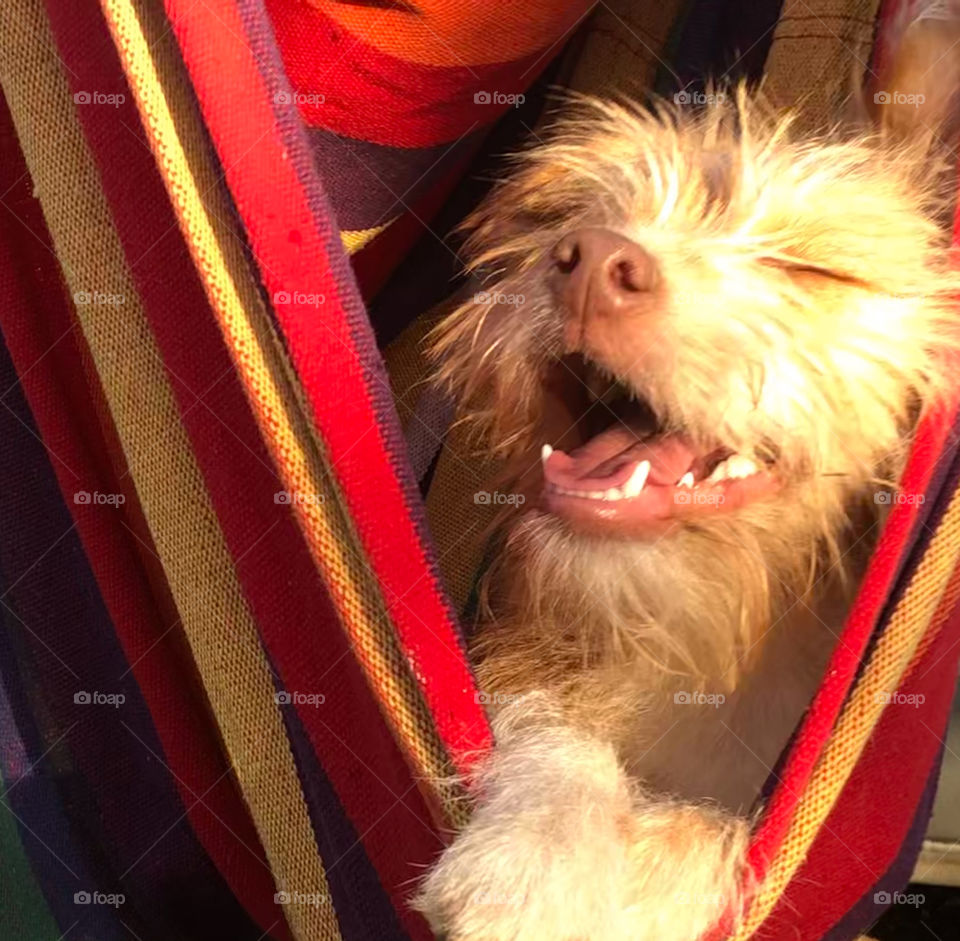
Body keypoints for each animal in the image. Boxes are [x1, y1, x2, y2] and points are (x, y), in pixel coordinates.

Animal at [412, 7, 960, 940]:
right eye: (569, 216)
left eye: (813, 267)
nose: (589, 260)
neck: (727, 638)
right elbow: (551, 723)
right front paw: (537, 846)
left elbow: (721, 833)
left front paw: (656, 873)